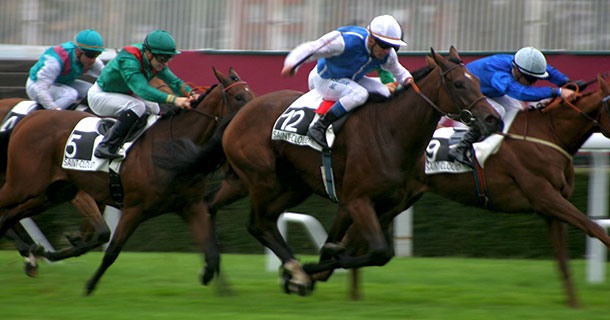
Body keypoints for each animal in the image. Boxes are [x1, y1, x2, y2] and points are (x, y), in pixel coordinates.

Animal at [0, 68, 254, 296]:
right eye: (239, 97)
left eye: (250, 94)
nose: (251, 117)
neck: (169, 149)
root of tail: (28, 120)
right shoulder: (134, 208)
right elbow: (111, 249)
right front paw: (89, 286)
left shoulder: (191, 206)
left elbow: (212, 251)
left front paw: (220, 287)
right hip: (24, 185)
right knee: (5, 209)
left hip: (51, 193)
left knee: (9, 215)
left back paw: (31, 253)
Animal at [159, 47, 502, 296]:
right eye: (459, 84)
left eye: (477, 81)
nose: (492, 119)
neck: (390, 131)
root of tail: (241, 112)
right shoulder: (358, 200)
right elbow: (378, 252)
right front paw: (308, 269)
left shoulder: (384, 204)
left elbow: (350, 247)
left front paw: (318, 263)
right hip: (261, 178)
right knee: (259, 223)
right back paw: (292, 270)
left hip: (285, 185)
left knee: (214, 207)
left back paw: (221, 271)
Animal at [330, 75, 608, 308]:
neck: (548, 134)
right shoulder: (545, 197)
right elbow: (595, 228)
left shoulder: (552, 207)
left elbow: (563, 261)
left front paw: (575, 304)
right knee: (354, 238)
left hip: (397, 201)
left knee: (354, 238)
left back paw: (347, 287)